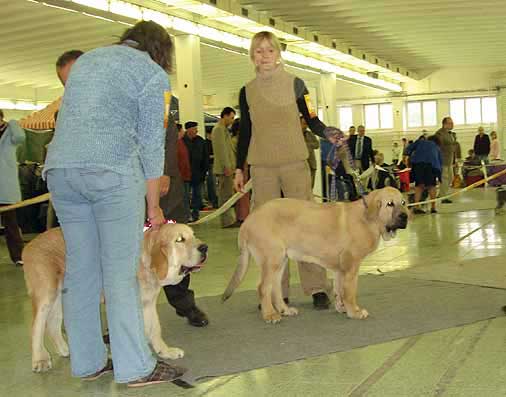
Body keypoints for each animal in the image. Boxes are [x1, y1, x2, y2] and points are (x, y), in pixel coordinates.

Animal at [24, 223, 207, 372]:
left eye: (193, 235)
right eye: (180, 240)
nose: (204, 247)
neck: (145, 262)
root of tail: (29, 245)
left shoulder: (148, 303)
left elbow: (155, 329)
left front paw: (165, 351)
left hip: (61, 297)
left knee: (52, 325)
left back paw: (66, 350)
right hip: (46, 294)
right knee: (36, 328)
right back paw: (40, 360)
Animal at [223, 186, 410, 322]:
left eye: (403, 202)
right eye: (390, 204)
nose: (405, 217)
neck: (368, 218)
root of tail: (248, 220)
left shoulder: (340, 269)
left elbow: (339, 289)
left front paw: (342, 308)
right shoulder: (351, 266)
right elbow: (350, 292)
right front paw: (354, 312)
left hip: (280, 260)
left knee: (275, 287)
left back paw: (285, 310)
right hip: (271, 259)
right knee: (263, 288)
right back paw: (270, 315)